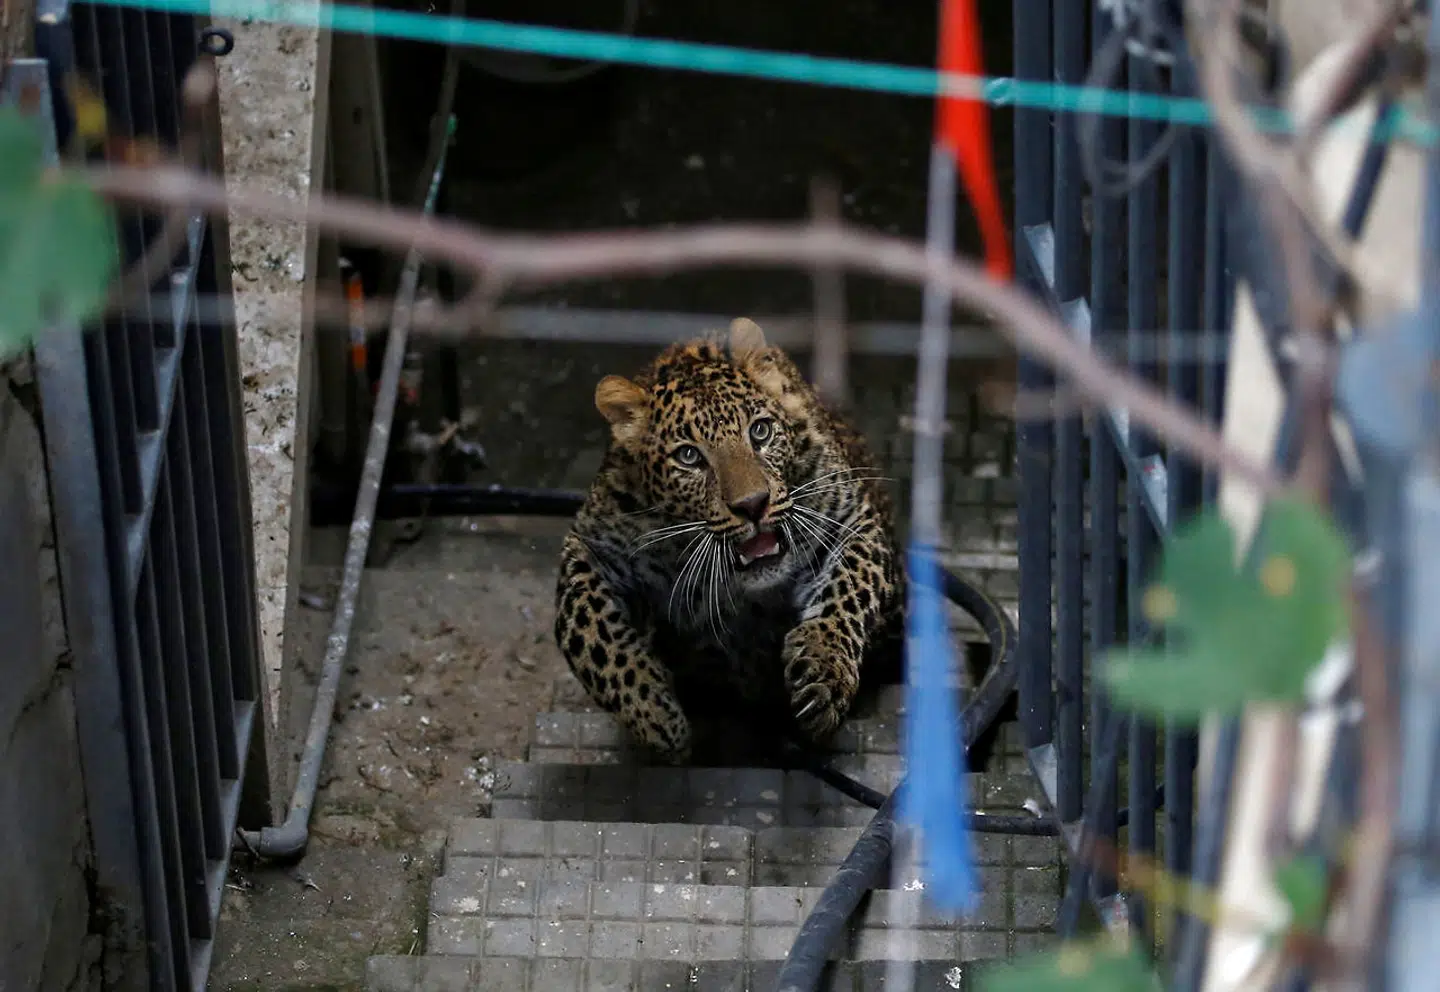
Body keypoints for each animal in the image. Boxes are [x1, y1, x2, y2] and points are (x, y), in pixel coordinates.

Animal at [552, 317, 905, 764]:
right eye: (689, 457)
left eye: (761, 432)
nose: (753, 505)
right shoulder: (592, 547)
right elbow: (586, 628)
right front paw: (655, 716)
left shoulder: (851, 519)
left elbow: (850, 587)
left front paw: (822, 669)